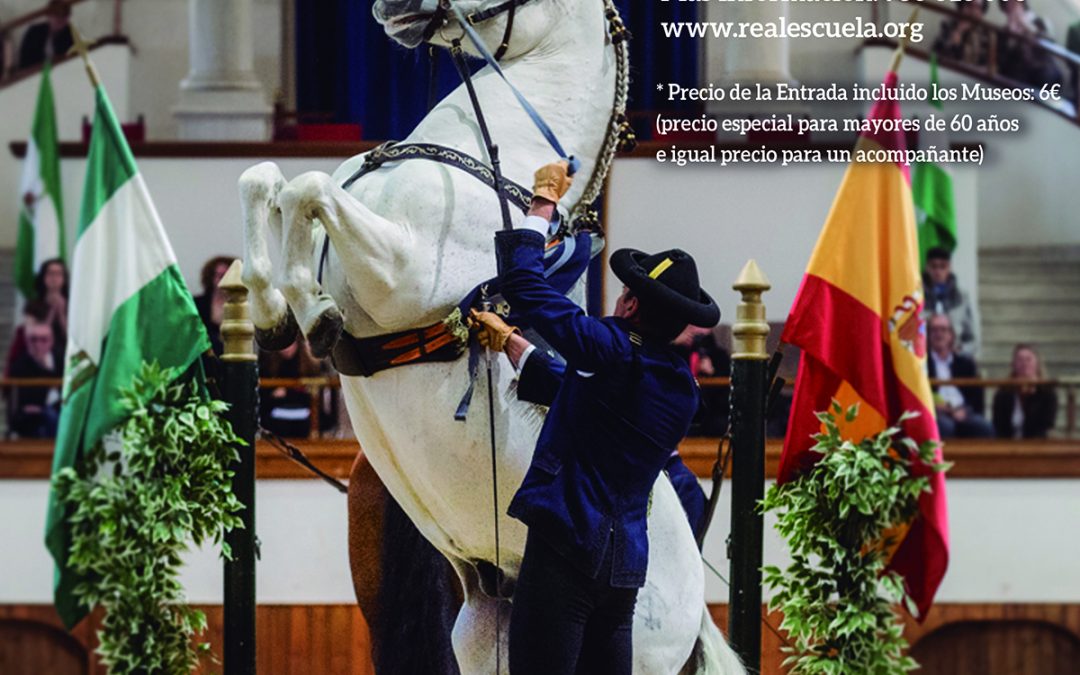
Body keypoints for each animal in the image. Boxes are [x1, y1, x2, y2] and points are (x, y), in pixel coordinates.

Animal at [238, 2, 743, 669]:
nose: (387, 9)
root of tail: (696, 617)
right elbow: (265, 177)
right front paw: (270, 313)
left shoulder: (400, 273)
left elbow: (308, 188)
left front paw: (313, 312)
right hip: (484, 637)